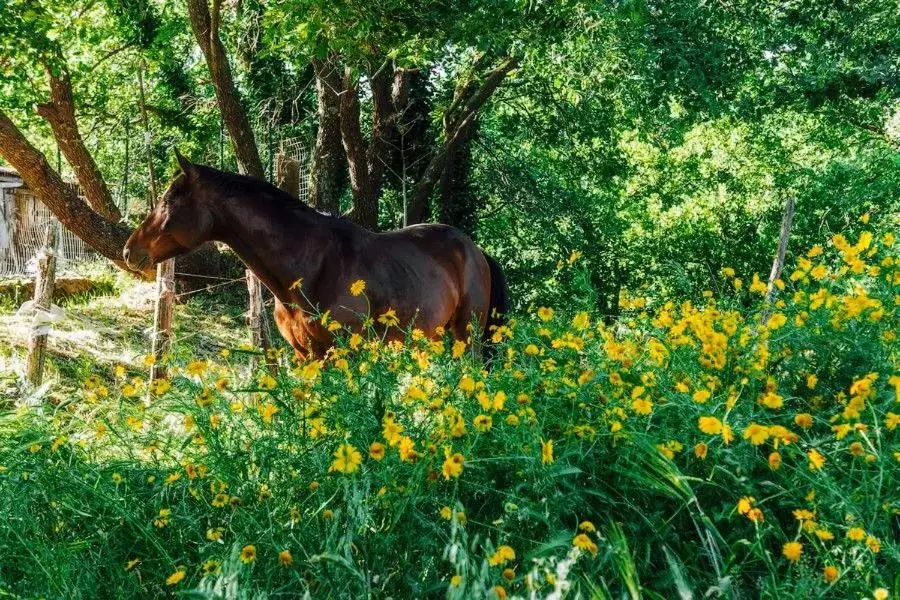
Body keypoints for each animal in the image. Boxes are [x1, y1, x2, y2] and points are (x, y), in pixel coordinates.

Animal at [123, 151, 510, 356]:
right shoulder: (304, 355)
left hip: (466, 338)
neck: (310, 266)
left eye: (170, 200)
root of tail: (475, 251)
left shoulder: (341, 353)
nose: (130, 251)